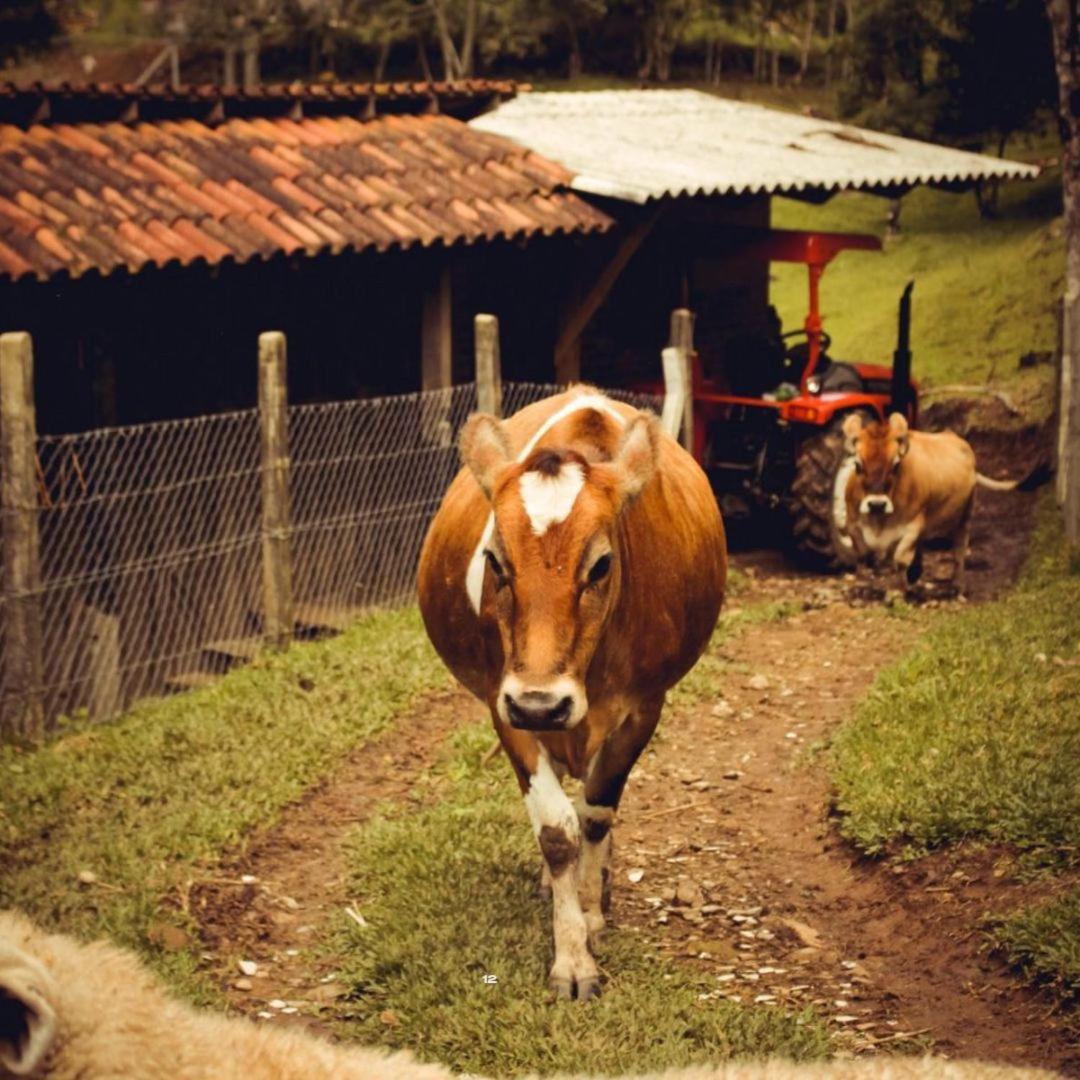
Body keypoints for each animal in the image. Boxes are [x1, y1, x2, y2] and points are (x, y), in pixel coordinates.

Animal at [414, 388, 725, 1002]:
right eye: (495, 561)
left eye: (601, 565)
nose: (542, 703)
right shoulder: (506, 703)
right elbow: (558, 831)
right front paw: (573, 957)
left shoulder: (645, 707)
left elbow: (597, 813)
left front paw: (591, 912)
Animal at [838, 410, 1023, 596]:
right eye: (857, 464)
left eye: (896, 464)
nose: (877, 504)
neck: (879, 523)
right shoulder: (852, 523)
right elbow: (862, 554)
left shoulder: (913, 525)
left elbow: (900, 559)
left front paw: (899, 591)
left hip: (966, 514)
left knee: (959, 549)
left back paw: (957, 585)